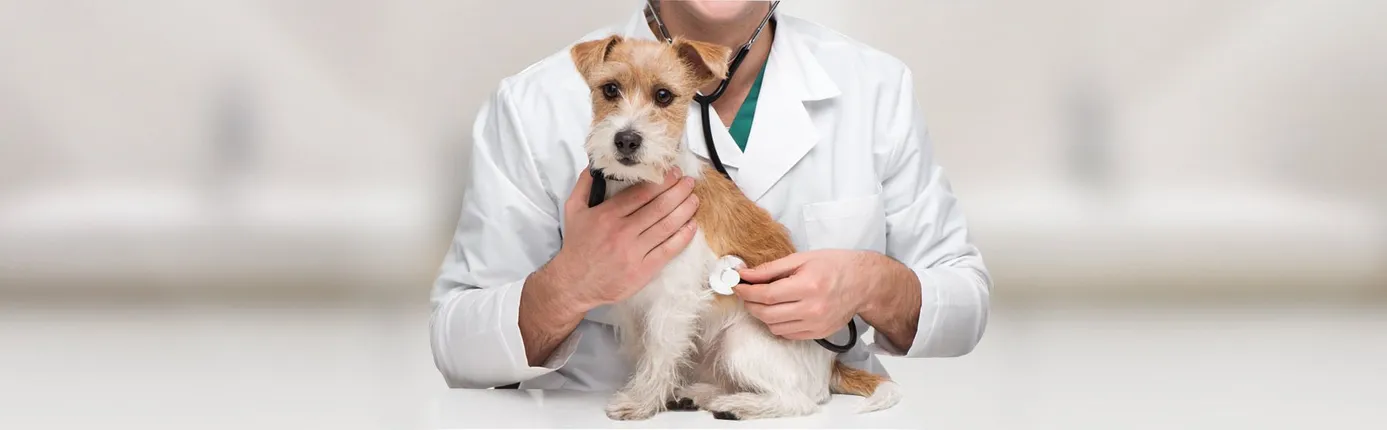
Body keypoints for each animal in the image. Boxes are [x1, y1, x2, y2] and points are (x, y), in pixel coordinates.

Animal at [568, 34, 904, 424]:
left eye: (664, 95)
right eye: (610, 89)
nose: (626, 139)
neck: (643, 183)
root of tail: (831, 367)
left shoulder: (674, 300)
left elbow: (659, 354)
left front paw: (640, 402)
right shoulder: (639, 308)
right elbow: (651, 351)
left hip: (739, 341)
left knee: (798, 401)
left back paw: (734, 405)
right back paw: (701, 394)